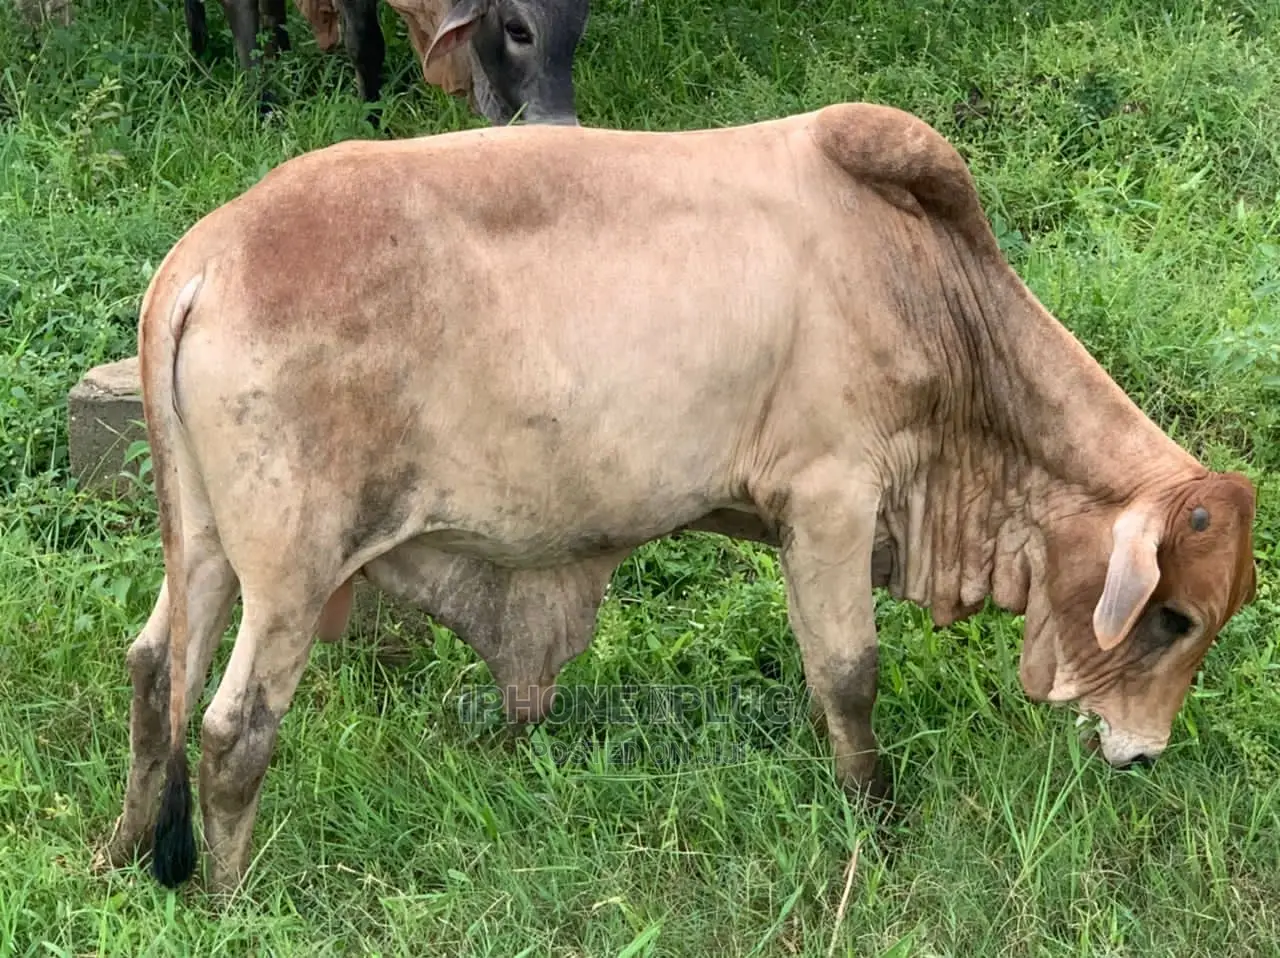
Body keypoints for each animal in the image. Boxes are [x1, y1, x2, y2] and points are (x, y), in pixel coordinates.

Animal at [91, 102, 1257, 896]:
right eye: (1171, 618)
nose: (1142, 755)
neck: (928, 290)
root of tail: (203, 260)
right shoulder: (830, 499)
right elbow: (850, 677)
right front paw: (877, 833)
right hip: (291, 567)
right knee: (233, 727)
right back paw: (233, 898)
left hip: (205, 543)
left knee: (153, 670)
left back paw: (121, 851)